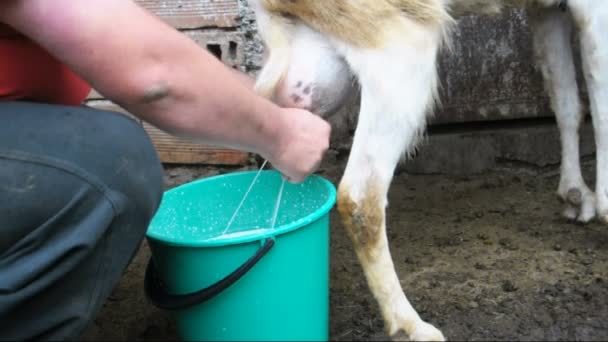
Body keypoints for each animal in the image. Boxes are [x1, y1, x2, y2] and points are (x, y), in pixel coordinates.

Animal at [248, 1, 608, 340]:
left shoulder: (546, 11)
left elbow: (566, 101)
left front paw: (576, 195)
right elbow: (601, 106)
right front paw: (603, 209)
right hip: (401, 48)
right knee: (360, 195)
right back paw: (411, 325)